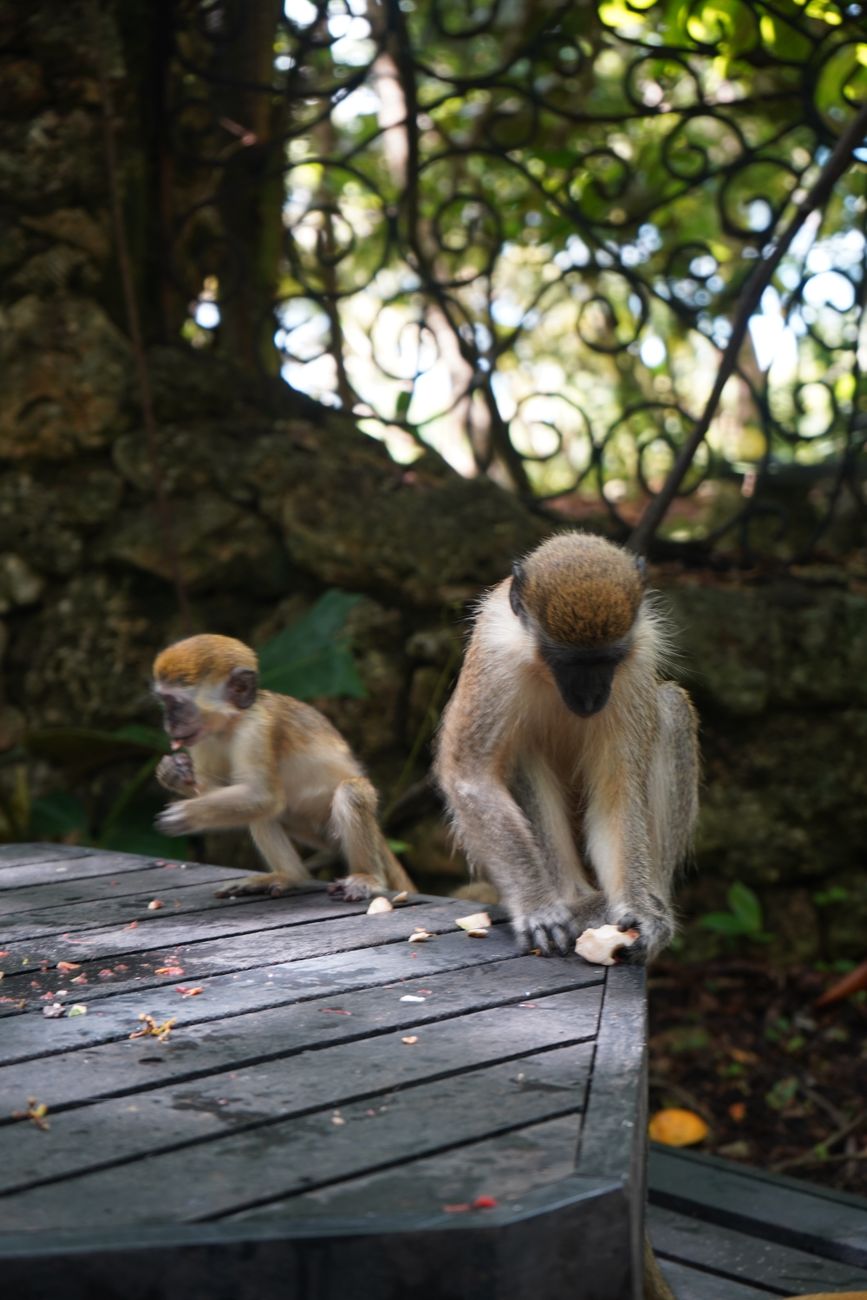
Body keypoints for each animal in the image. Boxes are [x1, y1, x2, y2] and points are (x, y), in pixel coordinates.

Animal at [151, 633, 414, 901]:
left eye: (176, 704)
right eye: (165, 702)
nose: (169, 723)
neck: (232, 723)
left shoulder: (255, 729)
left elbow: (263, 795)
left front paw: (186, 813)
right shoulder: (202, 739)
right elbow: (224, 789)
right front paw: (174, 773)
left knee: (349, 792)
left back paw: (367, 877)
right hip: (313, 833)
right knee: (259, 810)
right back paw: (289, 875)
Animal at [434, 531, 699, 963]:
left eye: (607, 660)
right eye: (568, 662)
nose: (591, 697)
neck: (543, 671)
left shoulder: (636, 660)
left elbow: (619, 793)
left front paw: (641, 913)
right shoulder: (494, 652)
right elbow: (472, 776)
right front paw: (539, 907)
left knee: (672, 708)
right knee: (519, 749)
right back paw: (573, 901)